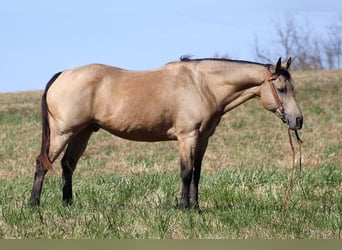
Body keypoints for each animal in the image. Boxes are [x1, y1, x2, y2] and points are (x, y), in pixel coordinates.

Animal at [28, 56, 302, 209]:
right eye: (281, 88)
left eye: (292, 87)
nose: (298, 120)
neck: (202, 85)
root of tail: (61, 75)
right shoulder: (187, 136)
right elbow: (186, 172)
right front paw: (184, 207)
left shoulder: (202, 139)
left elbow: (197, 174)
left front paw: (196, 207)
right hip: (63, 133)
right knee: (42, 164)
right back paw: (34, 205)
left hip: (82, 133)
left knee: (67, 165)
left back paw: (68, 205)